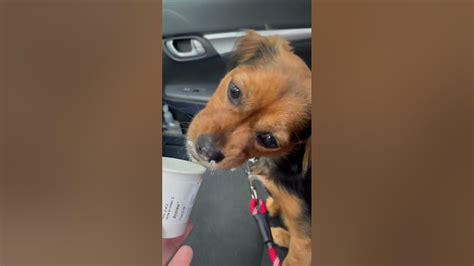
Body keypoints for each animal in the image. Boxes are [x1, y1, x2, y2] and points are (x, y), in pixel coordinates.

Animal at [187, 30, 312, 264]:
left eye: (269, 140)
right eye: (234, 91)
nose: (206, 150)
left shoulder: (305, 239)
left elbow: (293, 258)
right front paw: (272, 205)